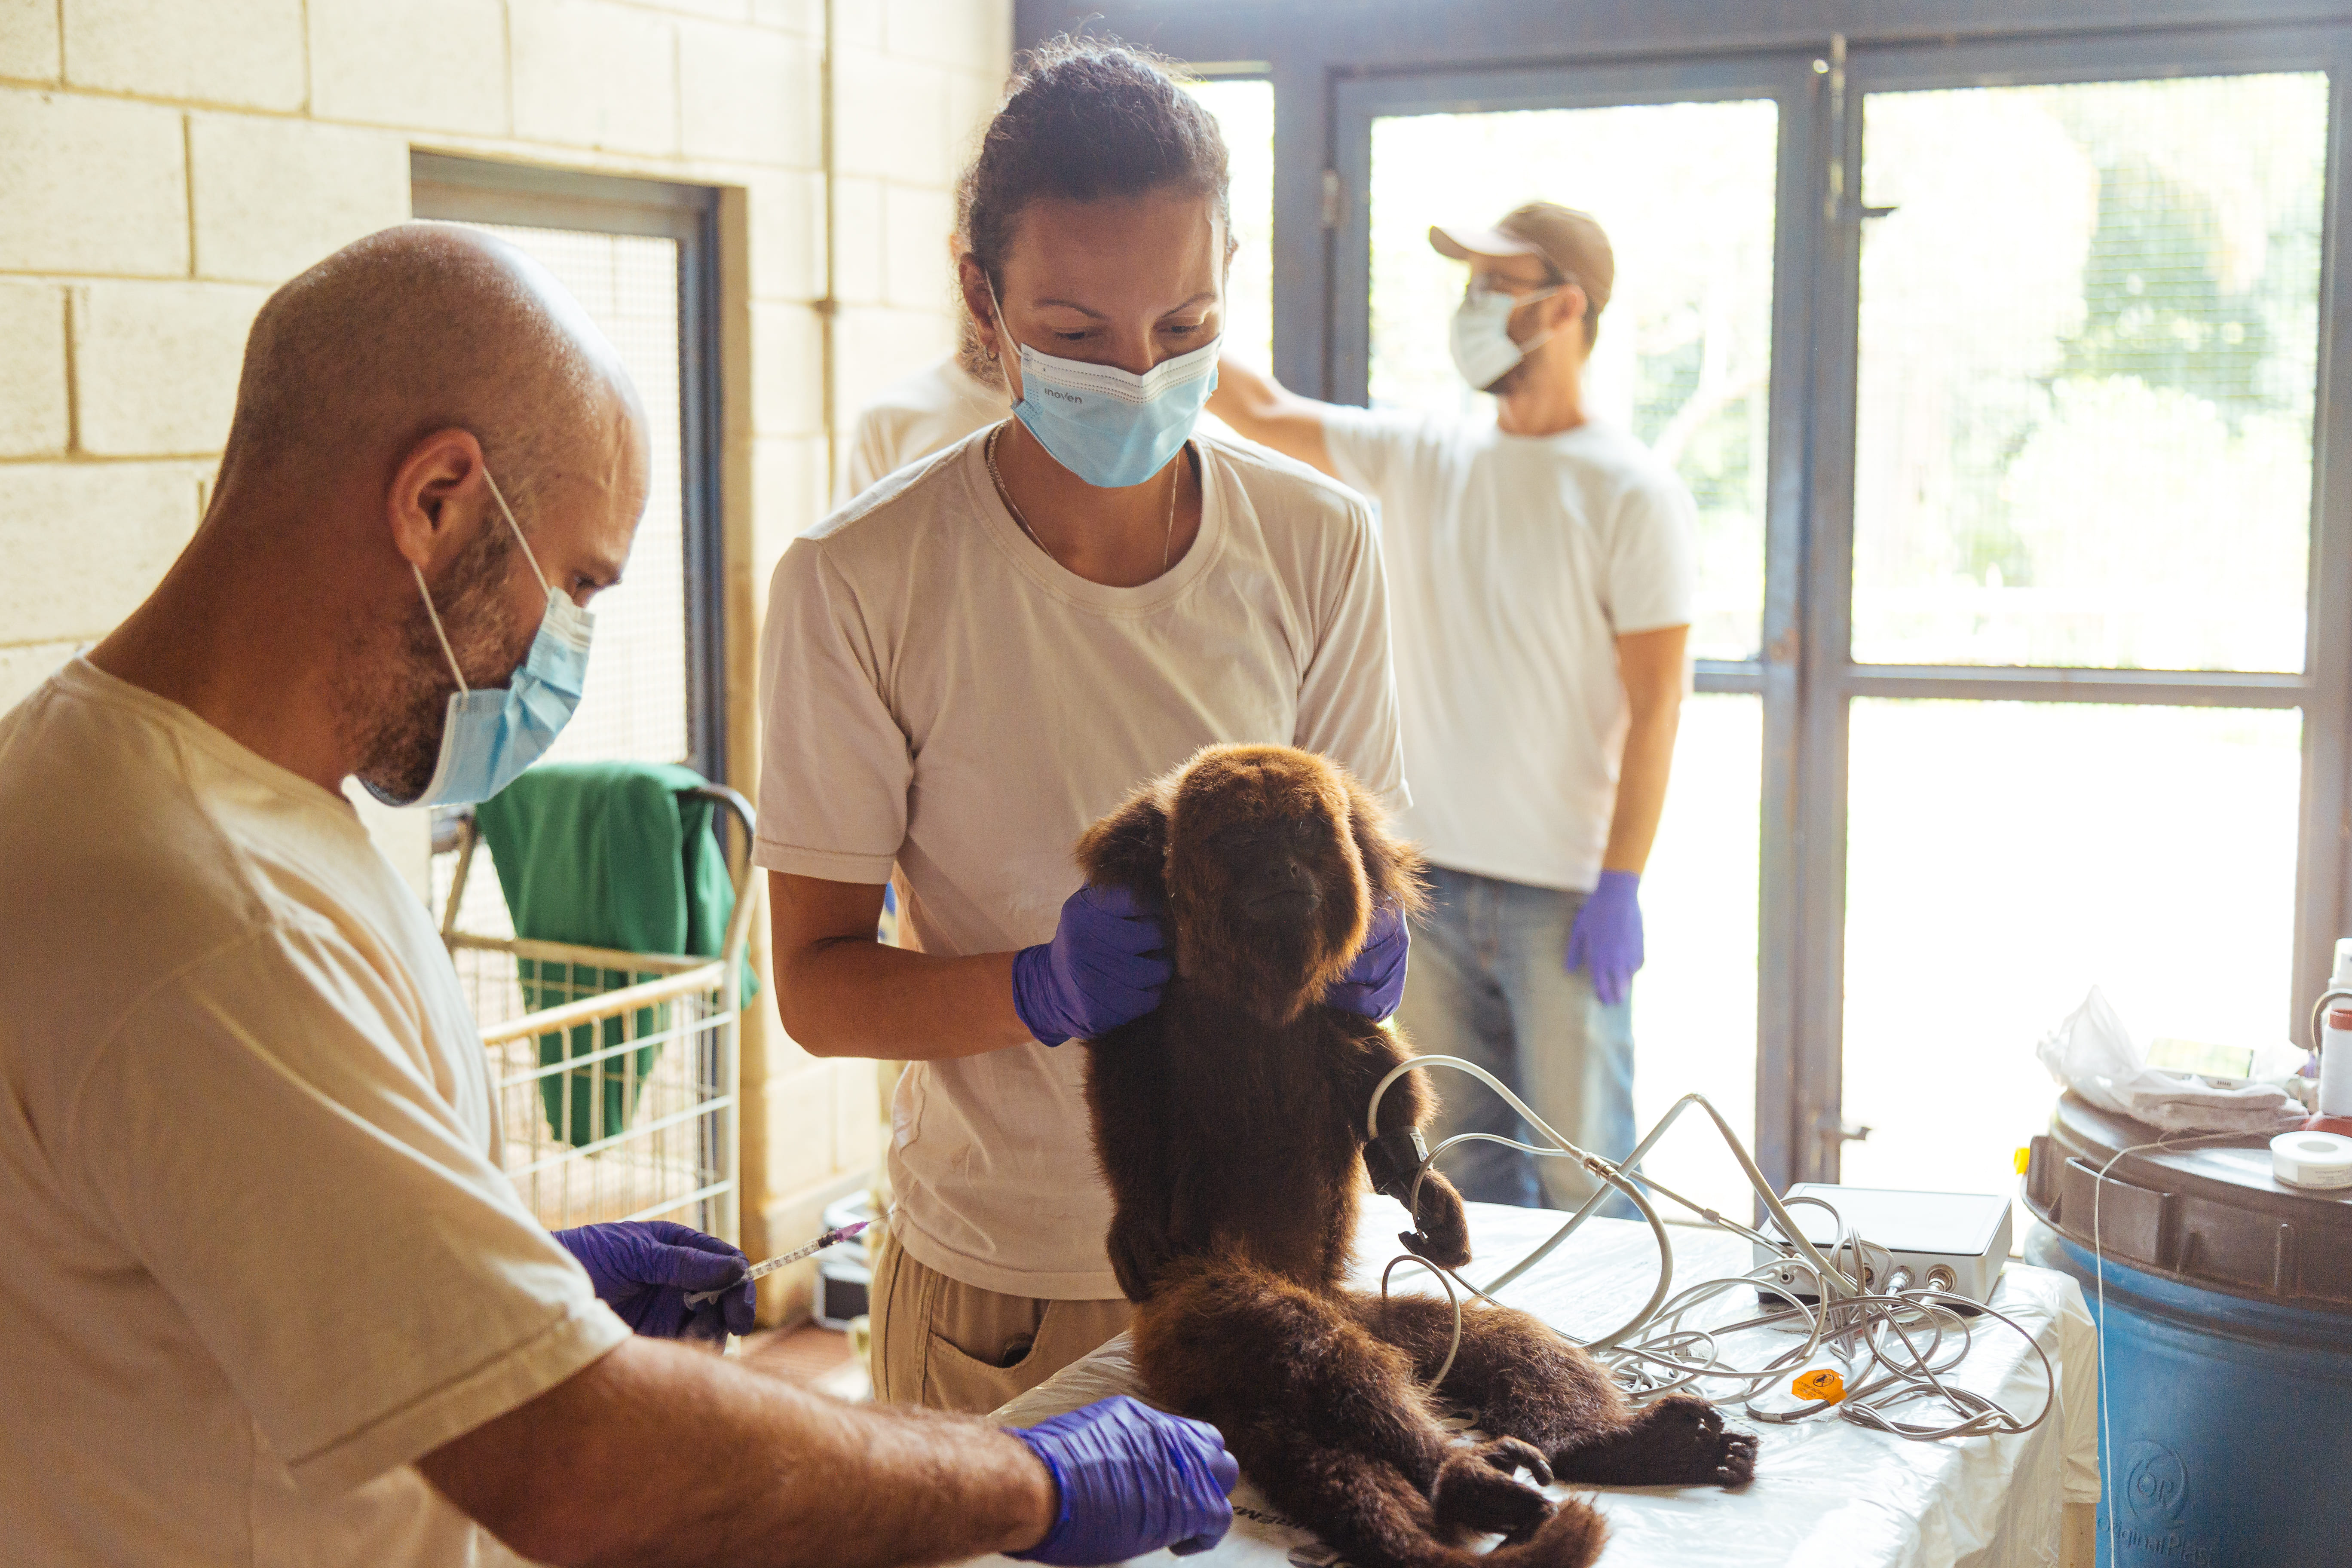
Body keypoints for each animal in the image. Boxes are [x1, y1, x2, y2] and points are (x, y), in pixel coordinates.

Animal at [1077, 747, 1759, 1568]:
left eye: (1301, 831)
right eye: (1242, 838)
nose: (1280, 866)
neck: (1248, 988)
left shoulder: (1341, 993)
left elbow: (1379, 1084)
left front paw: (1427, 1194)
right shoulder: (1142, 990)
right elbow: (1123, 1087)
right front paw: (1134, 1222)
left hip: (1368, 1317)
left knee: (1494, 1342)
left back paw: (1617, 1446)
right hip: (1180, 1336)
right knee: (1292, 1340)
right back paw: (1465, 1479)